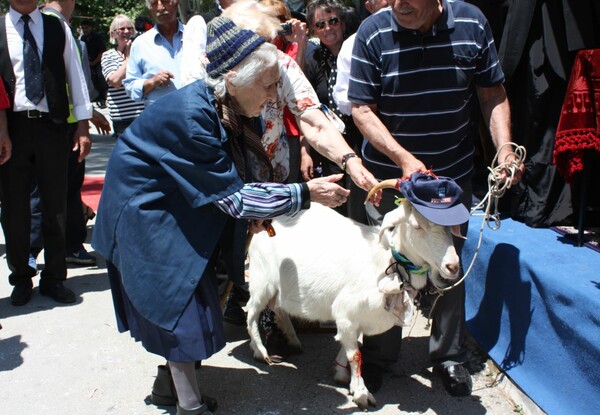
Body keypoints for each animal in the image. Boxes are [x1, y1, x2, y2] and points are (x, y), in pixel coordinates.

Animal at [246, 195, 462, 410]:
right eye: (417, 225)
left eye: (451, 228)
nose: (452, 266)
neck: (385, 263)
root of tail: (267, 221)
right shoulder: (346, 314)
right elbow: (356, 355)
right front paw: (361, 394)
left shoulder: (354, 318)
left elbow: (348, 345)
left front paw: (341, 374)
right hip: (261, 279)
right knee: (252, 312)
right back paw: (260, 352)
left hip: (280, 286)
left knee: (278, 308)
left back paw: (293, 341)